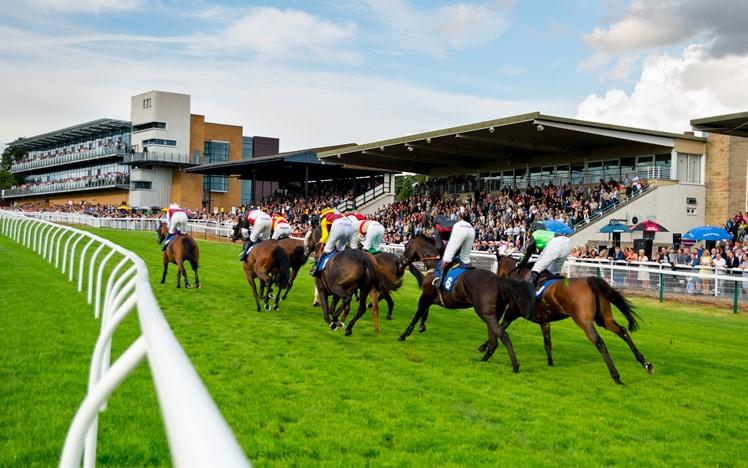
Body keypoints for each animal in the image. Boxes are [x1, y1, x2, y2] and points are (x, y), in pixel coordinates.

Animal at [400, 262, 536, 372]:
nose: (402, 263)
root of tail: (498, 280)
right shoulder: (428, 299)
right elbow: (424, 312)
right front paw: (421, 327)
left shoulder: (425, 298)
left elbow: (417, 314)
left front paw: (404, 334)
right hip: (492, 315)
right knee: (494, 341)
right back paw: (483, 359)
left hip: (485, 313)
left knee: (503, 335)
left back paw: (515, 365)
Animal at [496, 254, 648, 386]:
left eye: (497, 269)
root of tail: (590, 280)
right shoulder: (544, 321)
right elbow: (547, 343)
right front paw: (550, 364)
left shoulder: (512, 312)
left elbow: (500, 328)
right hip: (604, 318)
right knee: (623, 331)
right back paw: (645, 363)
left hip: (583, 321)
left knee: (599, 342)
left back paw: (616, 376)